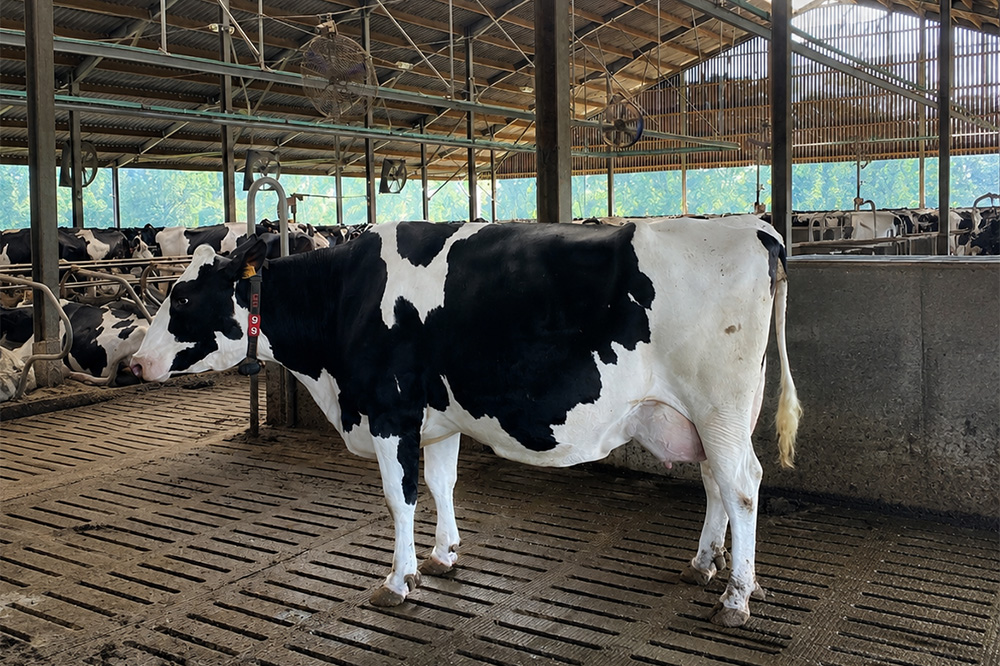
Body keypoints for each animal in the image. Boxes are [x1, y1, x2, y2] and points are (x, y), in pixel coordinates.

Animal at [129, 216, 801, 628]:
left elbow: (399, 497)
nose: (135, 363)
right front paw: (443, 555)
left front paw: (397, 579)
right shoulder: (439, 416)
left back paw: (737, 596)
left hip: (718, 404)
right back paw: (705, 564)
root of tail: (752, 227)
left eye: (183, 298)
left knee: (742, 485)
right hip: (713, 414)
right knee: (717, 481)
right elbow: (440, 483)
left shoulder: (390, 411)